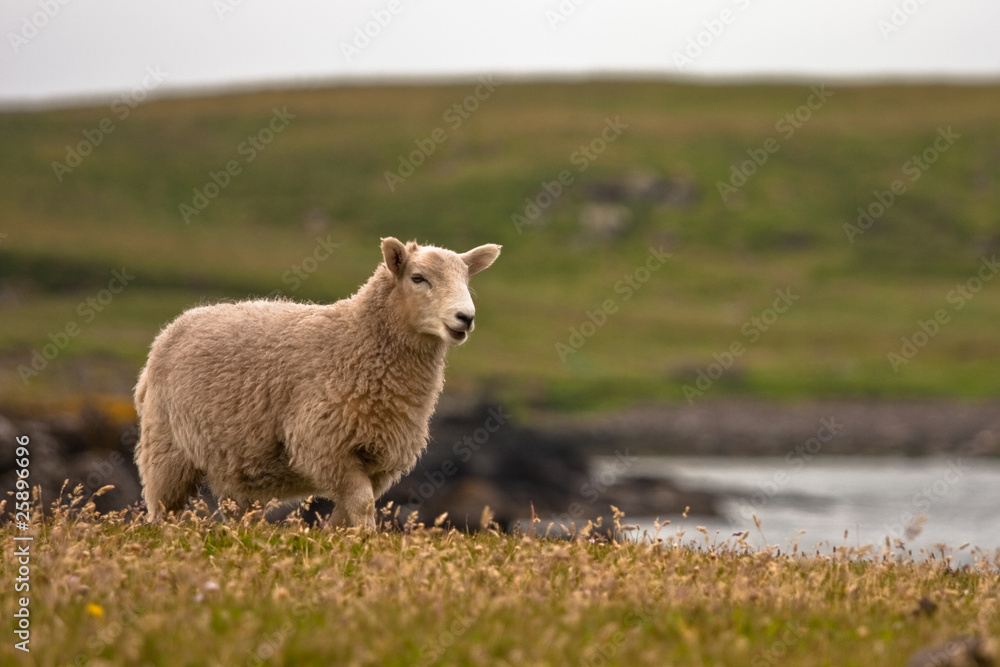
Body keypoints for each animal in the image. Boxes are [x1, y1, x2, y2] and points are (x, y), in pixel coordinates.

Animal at [133, 237, 501, 528]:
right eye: (418, 278)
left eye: (466, 279)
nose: (465, 318)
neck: (355, 341)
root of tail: (176, 324)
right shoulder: (325, 444)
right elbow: (362, 504)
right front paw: (366, 539)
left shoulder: (378, 459)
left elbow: (349, 509)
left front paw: (343, 539)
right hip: (166, 448)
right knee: (163, 508)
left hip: (235, 463)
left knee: (239, 513)